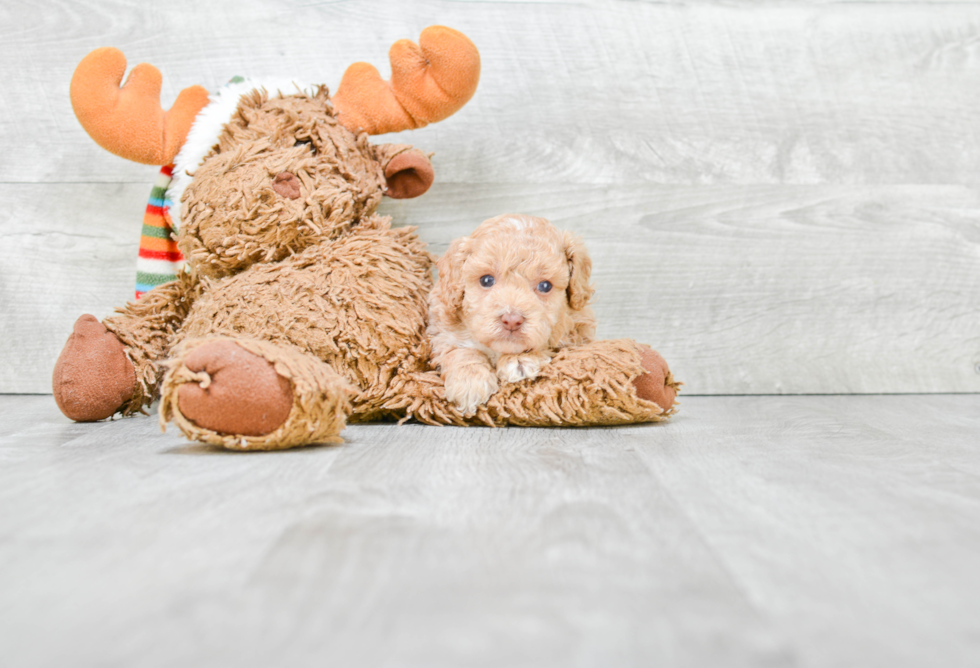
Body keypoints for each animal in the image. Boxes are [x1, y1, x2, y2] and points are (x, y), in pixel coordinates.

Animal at [428, 213, 596, 412]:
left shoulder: (578, 333)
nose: (512, 320)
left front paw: (519, 360)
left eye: (545, 286)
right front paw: (469, 380)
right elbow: (458, 349)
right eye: (486, 280)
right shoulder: (442, 328)